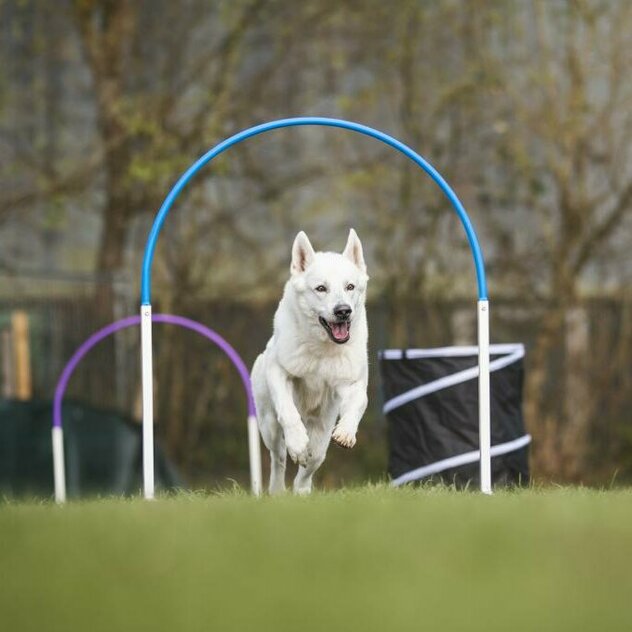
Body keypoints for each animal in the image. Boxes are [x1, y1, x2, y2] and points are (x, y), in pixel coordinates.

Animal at [251, 227, 370, 494]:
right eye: (321, 288)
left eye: (350, 286)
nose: (343, 311)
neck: (322, 349)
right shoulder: (280, 371)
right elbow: (288, 411)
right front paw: (297, 443)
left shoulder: (351, 382)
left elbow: (359, 402)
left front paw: (347, 432)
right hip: (268, 425)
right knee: (278, 458)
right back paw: (277, 489)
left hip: (322, 432)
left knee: (311, 463)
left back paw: (302, 491)